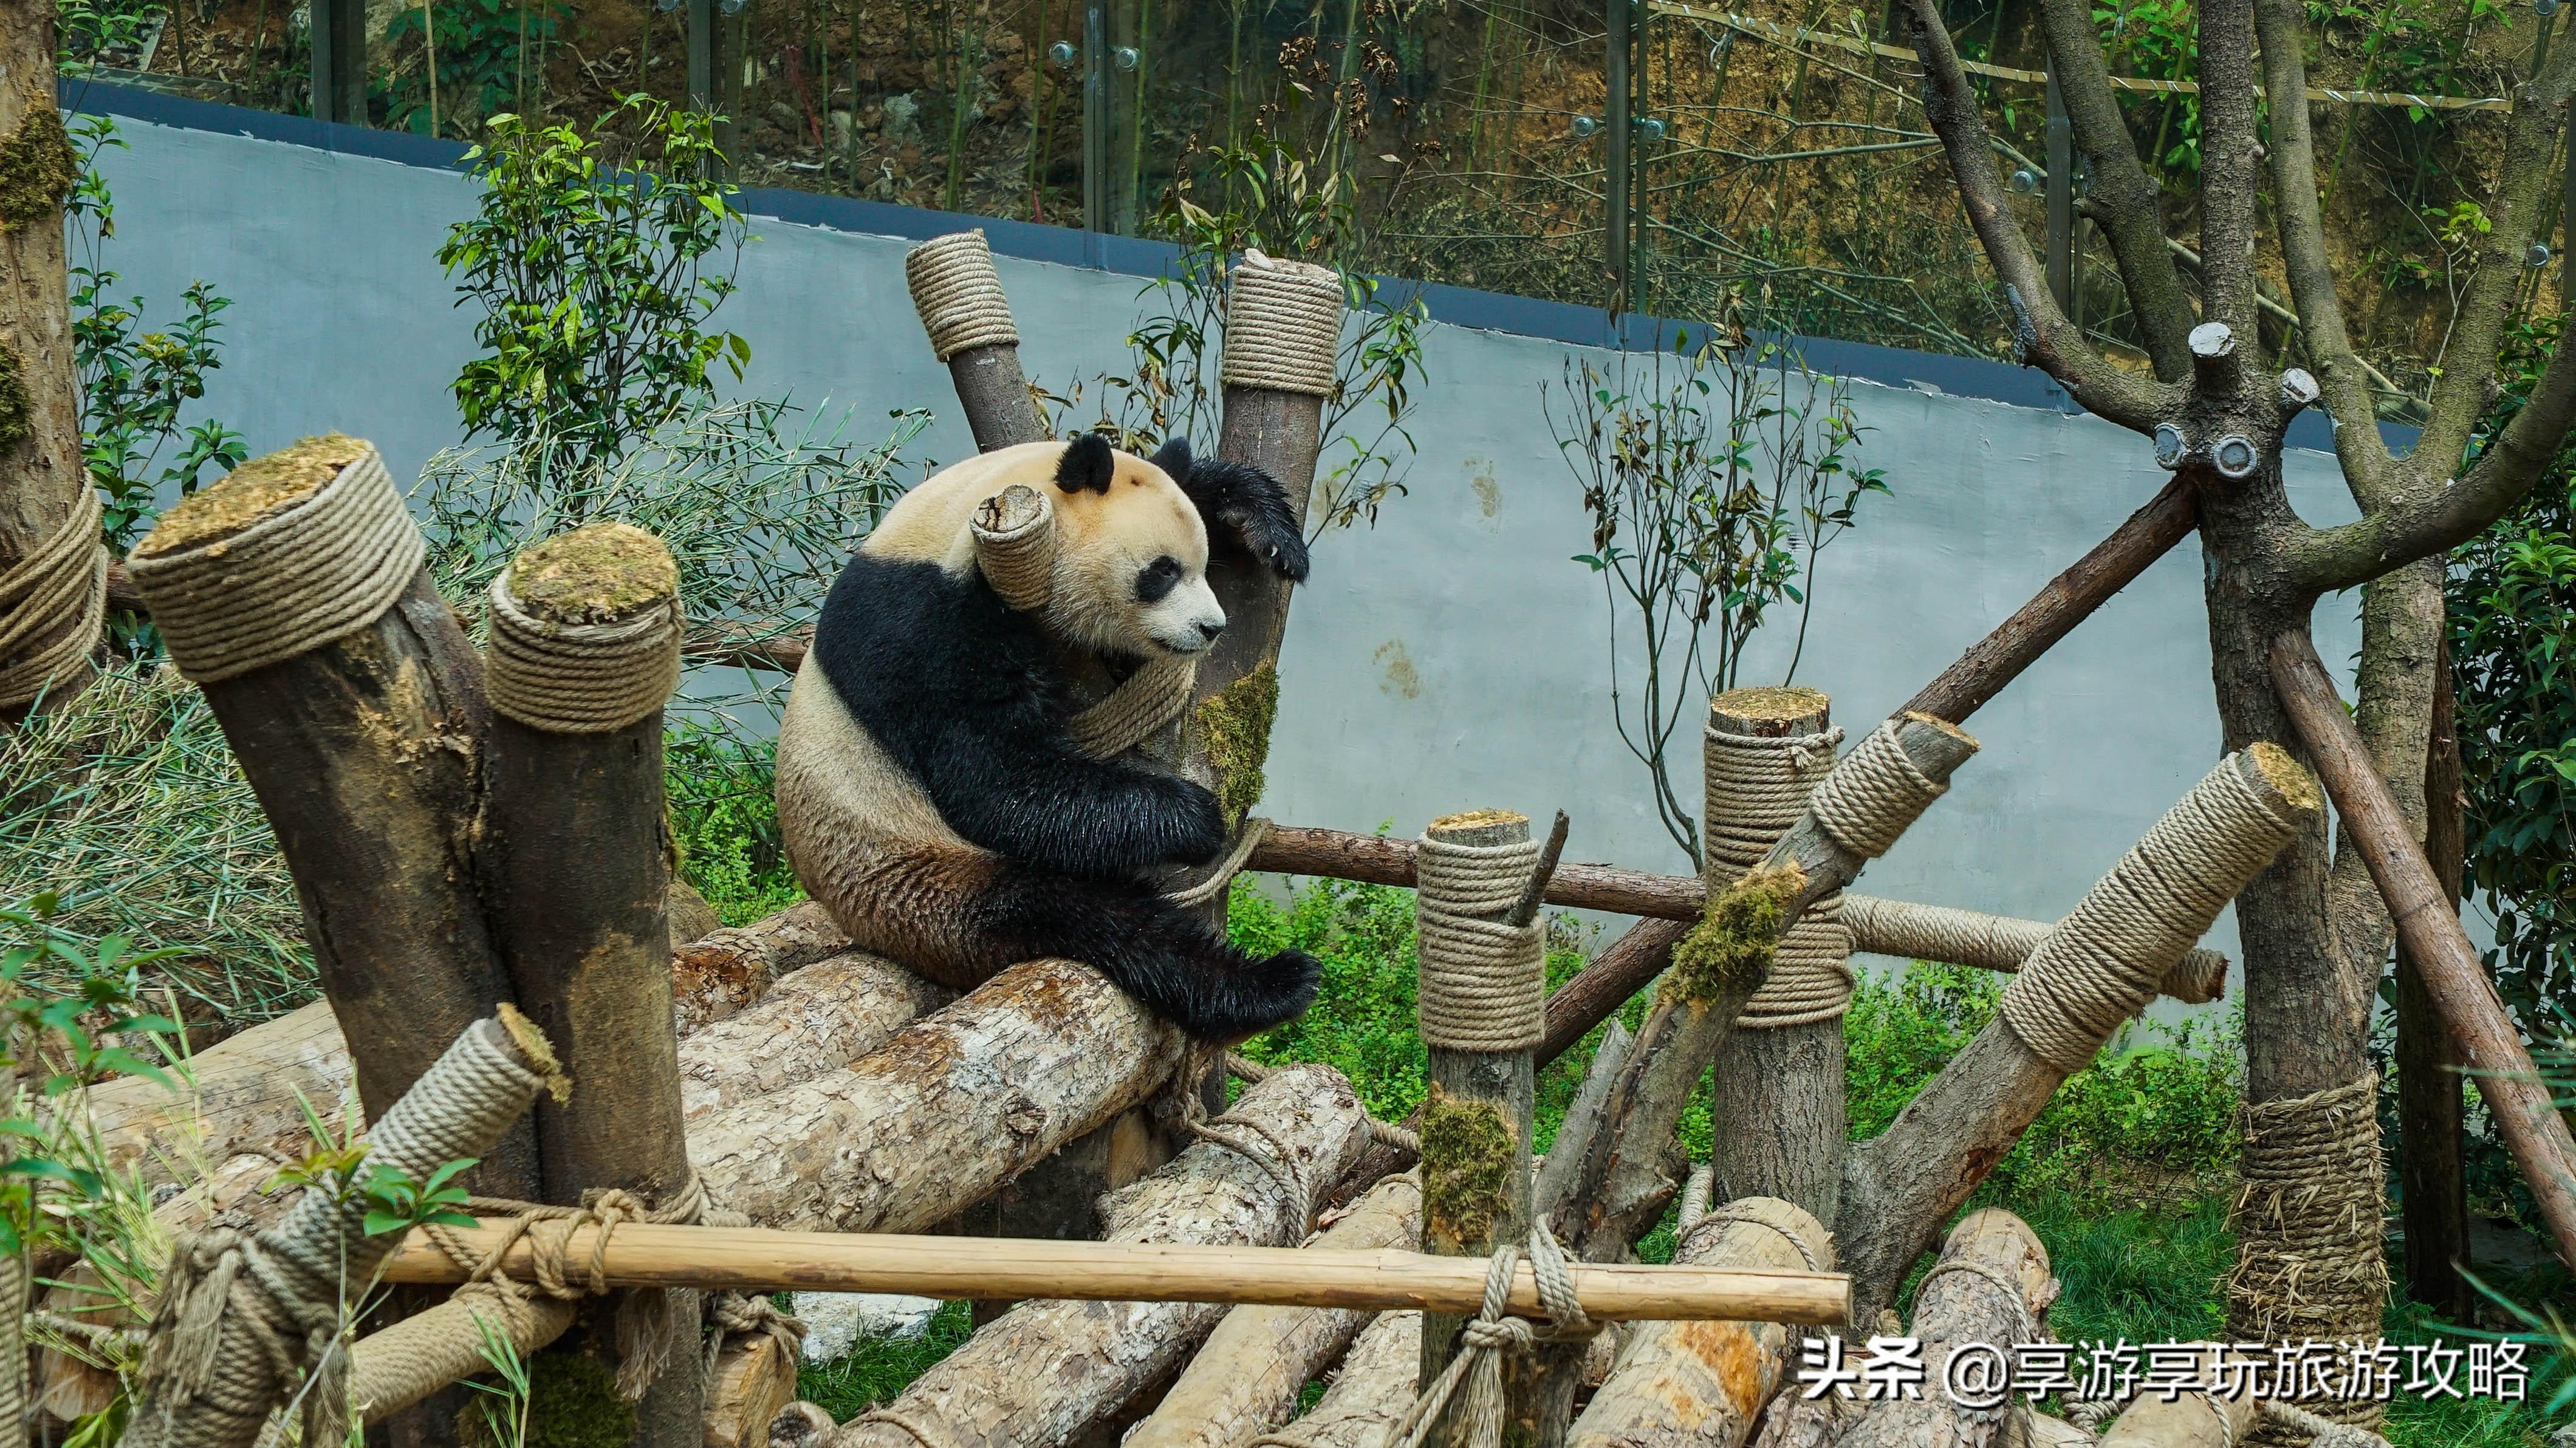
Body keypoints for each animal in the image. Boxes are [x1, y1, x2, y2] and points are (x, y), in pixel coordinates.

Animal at [772, 428, 1318, 1036]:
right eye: (1161, 572)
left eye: (1201, 566)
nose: (1211, 628)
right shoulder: (921, 633)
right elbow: (994, 780)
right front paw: (1194, 816)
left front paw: (1267, 530)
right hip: (916, 879)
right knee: (1090, 917)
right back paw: (1266, 984)